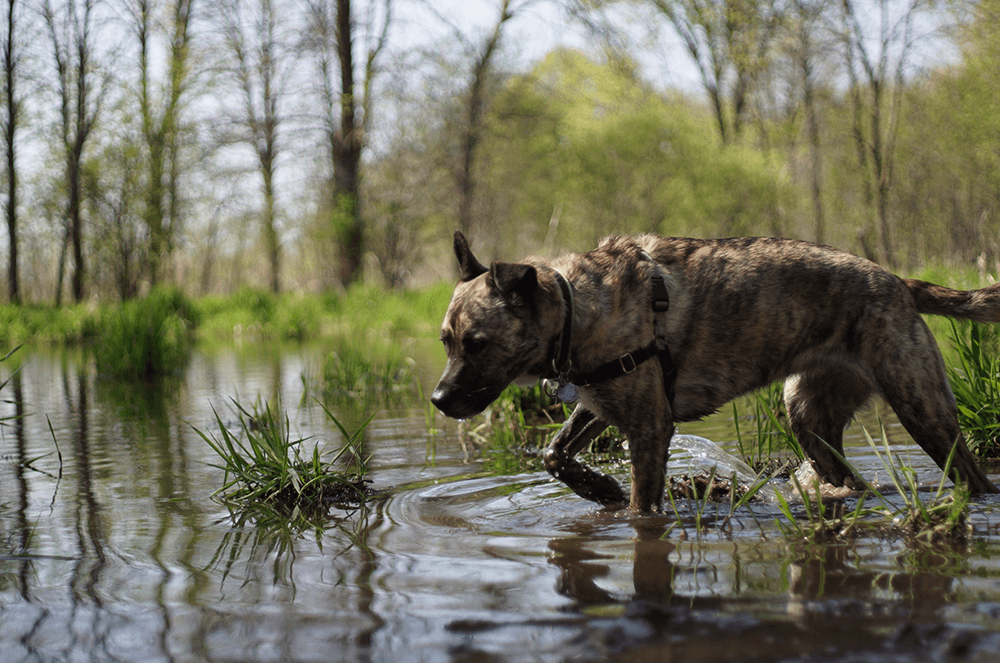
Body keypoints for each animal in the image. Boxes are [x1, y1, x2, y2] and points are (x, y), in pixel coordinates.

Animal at [430, 232, 1000, 512]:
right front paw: (600, 489)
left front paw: (620, 504)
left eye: (477, 343)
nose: (438, 400)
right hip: (807, 414)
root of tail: (899, 282)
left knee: (974, 478)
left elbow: (641, 508)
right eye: (445, 341)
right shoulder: (603, 403)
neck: (578, 306)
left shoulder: (649, 426)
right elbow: (553, 454)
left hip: (921, 406)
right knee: (845, 477)